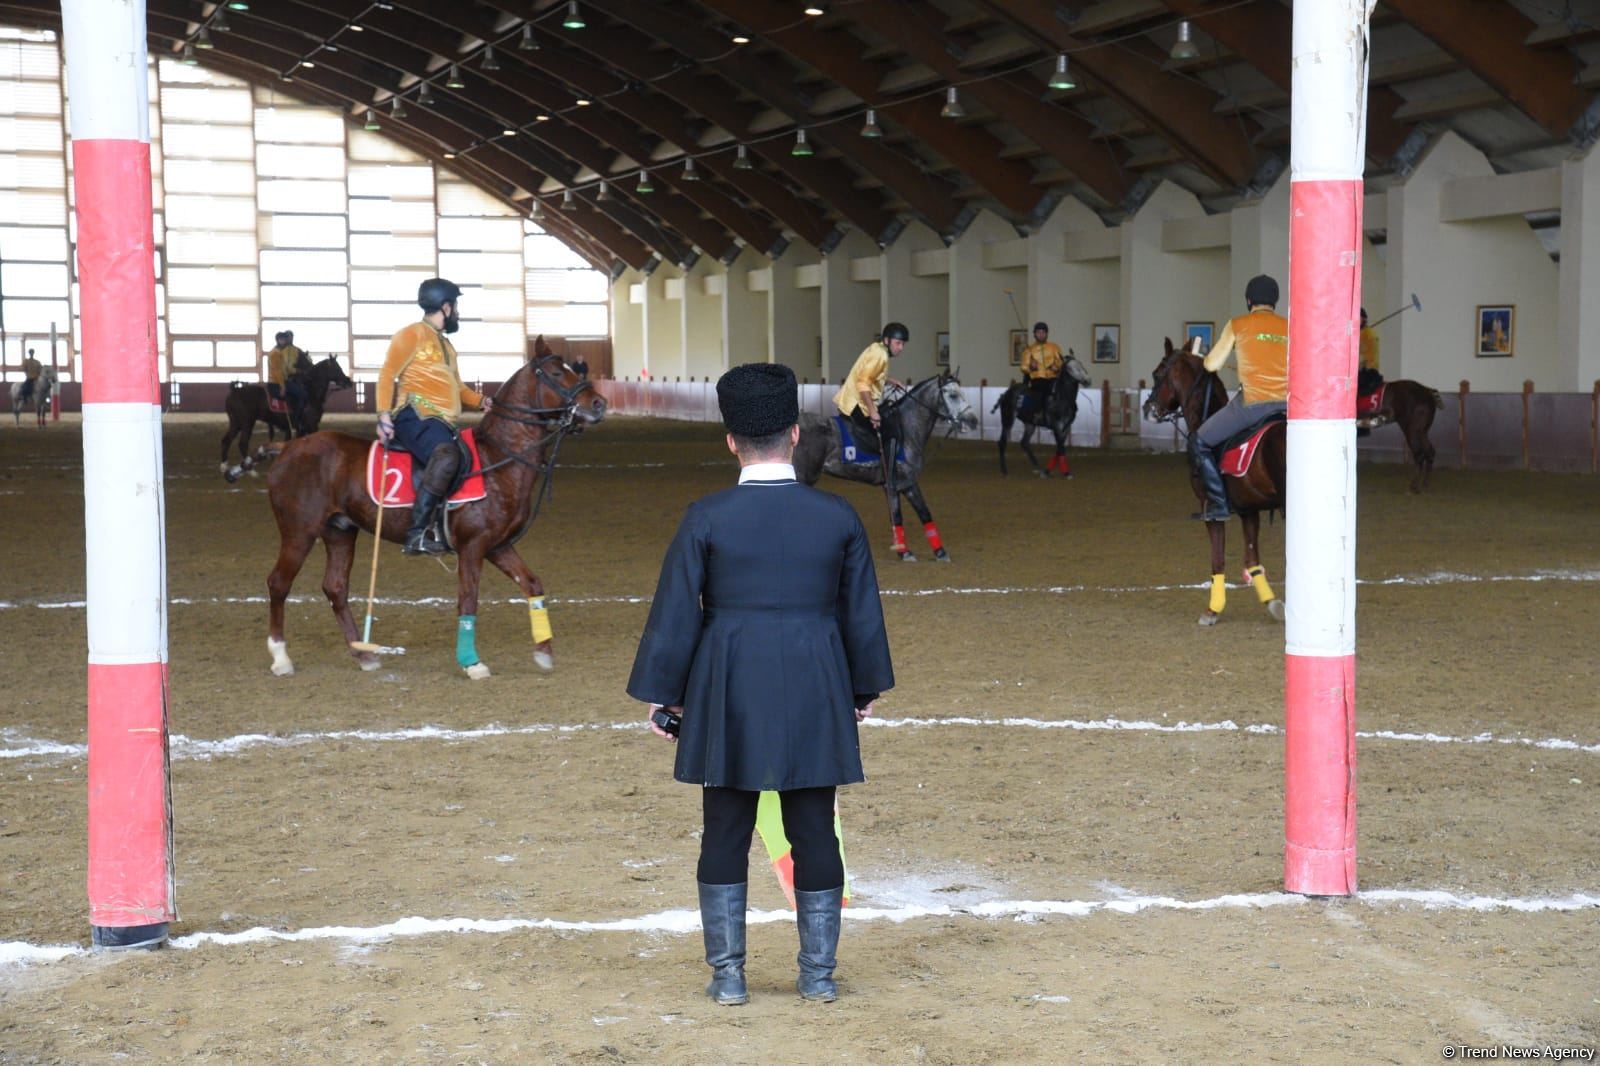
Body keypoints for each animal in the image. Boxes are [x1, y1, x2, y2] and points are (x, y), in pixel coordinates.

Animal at [220, 355, 352, 480]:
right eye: (337, 368)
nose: (348, 381)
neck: (310, 392)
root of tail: (234, 392)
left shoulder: (301, 429)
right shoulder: (311, 425)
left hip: (236, 423)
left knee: (226, 440)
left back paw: (224, 466)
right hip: (247, 423)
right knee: (243, 443)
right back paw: (251, 471)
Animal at [262, 336, 604, 675]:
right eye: (557, 374)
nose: (599, 403)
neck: (497, 458)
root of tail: (287, 447)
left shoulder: (498, 545)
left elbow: (532, 585)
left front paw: (544, 651)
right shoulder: (472, 546)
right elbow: (468, 600)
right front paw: (472, 662)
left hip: (340, 531)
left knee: (335, 588)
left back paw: (364, 654)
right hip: (299, 530)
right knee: (279, 583)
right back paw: (281, 657)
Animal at [1139, 337, 1286, 624]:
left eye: (1157, 373)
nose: (1148, 409)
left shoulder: (1211, 509)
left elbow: (1217, 559)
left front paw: (1212, 609)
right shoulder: (1249, 510)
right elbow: (1252, 560)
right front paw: (1272, 603)